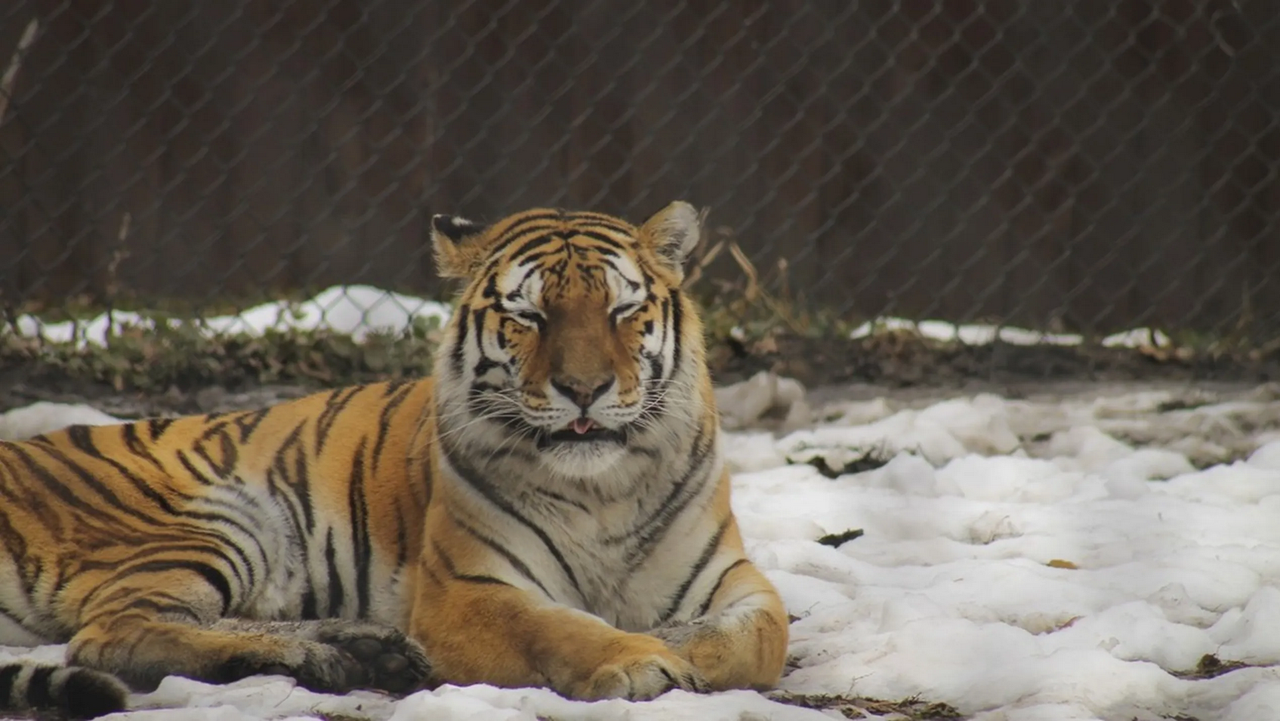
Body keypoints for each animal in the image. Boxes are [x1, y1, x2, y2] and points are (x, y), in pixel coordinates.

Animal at [0, 201, 789, 718]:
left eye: (622, 312)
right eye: (529, 316)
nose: (584, 388)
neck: (604, 490)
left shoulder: (736, 580)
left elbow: (759, 638)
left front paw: (672, 645)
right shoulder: (468, 590)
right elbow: (558, 625)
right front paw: (638, 656)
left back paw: (363, 650)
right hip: (216, 520)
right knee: (112, 635)